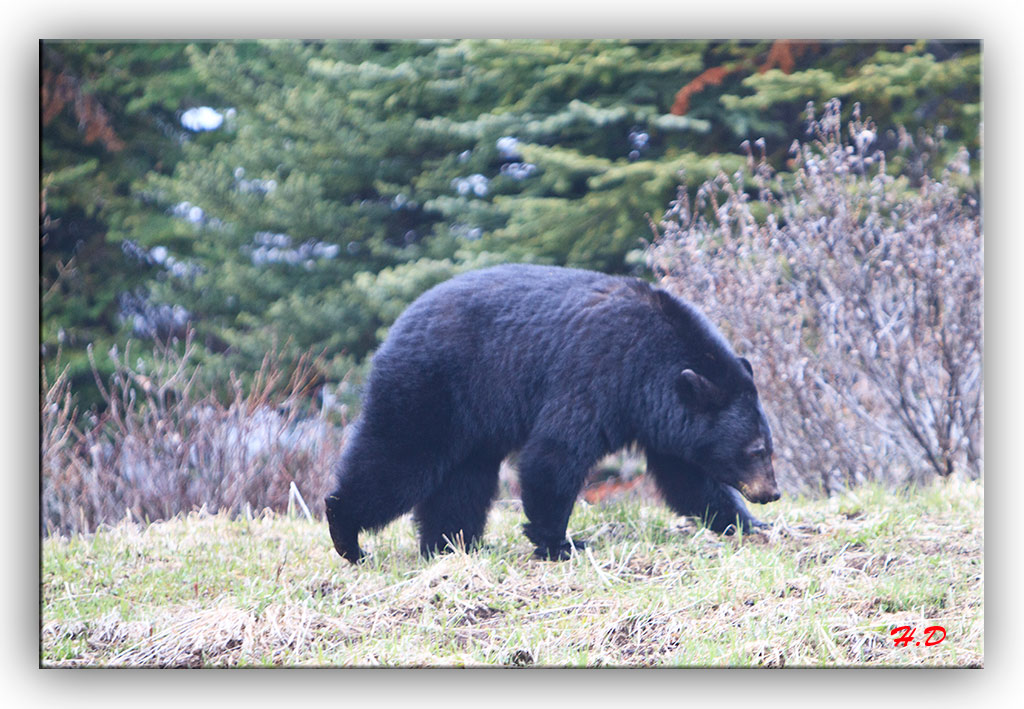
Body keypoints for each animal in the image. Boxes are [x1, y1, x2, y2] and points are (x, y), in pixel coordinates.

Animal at [323, 262, 778, 561]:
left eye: (769, 448)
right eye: (755, 450)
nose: (772, 494)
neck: (653, 364)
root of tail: (396, 326)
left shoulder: (663, 416)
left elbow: (687, 478)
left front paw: (750, 525)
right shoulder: (599, 373)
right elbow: (556, 453)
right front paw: (560, 543)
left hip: (469, 418)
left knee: (463, 480)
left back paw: (454, 543)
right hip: (432, 386)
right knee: (397, 458)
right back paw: (347, 535)